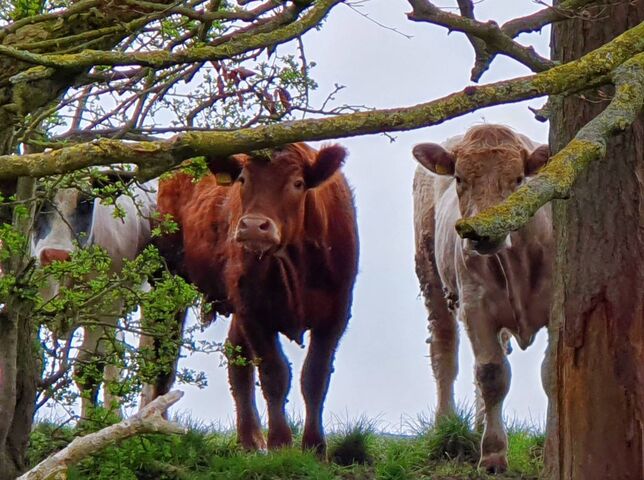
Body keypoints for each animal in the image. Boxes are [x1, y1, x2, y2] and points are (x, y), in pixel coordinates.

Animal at [32, 176, 157, 419]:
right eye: (40, 199)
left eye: (87, 202)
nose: (56, 256)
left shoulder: (105, 308)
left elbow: (88, 368)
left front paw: (87, 426)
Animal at [155, 142, 358, 455]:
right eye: (243, 179)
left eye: (297, 183)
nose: (252, 226)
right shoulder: (253, 312)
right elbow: (275, 374)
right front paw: (281, 444)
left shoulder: (336, 314)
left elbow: (315, 376)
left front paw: (314, 446)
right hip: (169, 278)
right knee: (164, 351)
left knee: (235, 357)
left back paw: (250, 438)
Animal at [412, 124, 552, 473]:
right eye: (460, 178)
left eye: (519, 179)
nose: (482, 232)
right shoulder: (476, 306)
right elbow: (492, 374)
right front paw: (493, 455)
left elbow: (551, 372)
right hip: (431, 277)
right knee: (444, 351)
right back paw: (445, 427)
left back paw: (478, 426)